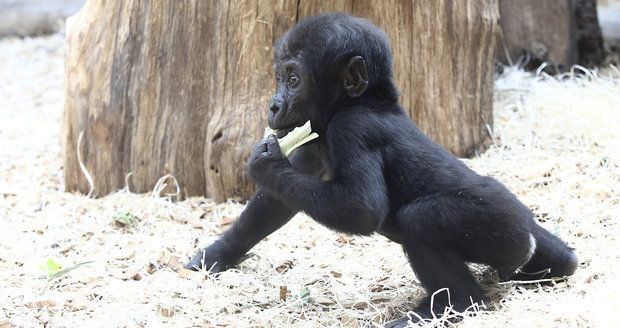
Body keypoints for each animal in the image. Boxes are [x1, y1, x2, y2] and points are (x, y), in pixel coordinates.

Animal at [186, 12, 580, 326]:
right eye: (279, 77)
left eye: (293, 80)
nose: (273, 105)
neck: (365, 101)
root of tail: (526, 225)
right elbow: (276, 202)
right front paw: (216, 255)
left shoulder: (352, 129)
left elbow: (362, 209)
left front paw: (265, 163)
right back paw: (557, 264)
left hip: (503, 227)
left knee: (420, 220)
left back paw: (453, 305)